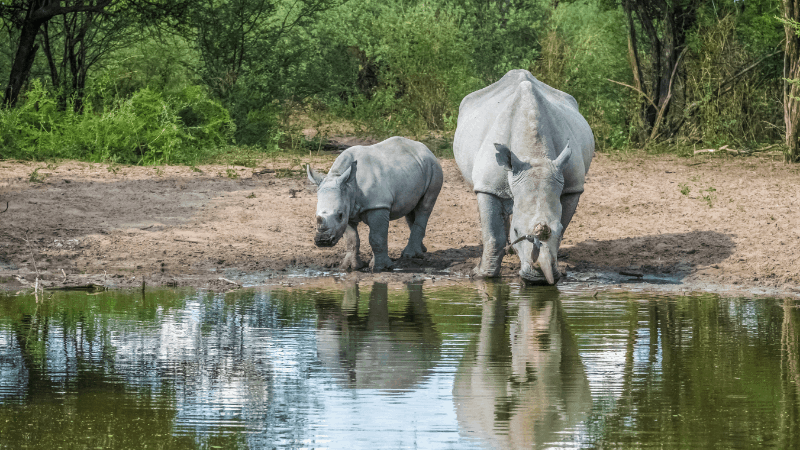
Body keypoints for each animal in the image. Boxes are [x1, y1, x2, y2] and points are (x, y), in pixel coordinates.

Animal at [306, 136, 444, 270]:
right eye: (315, 216)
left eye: (339, 215)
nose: (322, 241)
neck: (349, 186)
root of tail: (426, 149)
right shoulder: (348, 208)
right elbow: (351, 239)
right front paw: (350, 267)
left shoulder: (377, 205)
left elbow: (376, 237)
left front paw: (380, 267)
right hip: (415, 169)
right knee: (411, 210)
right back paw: (421, 251)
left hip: (434, 167)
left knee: (424, 207)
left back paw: (410, 255)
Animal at [456, 68, 592, 284]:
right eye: (518, 231)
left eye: (559, 229)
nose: (539, 279)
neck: (535, 156)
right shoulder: (487, 186)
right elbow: (492, 234)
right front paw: (481, 275)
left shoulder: (572, 187)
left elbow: (563, 223)